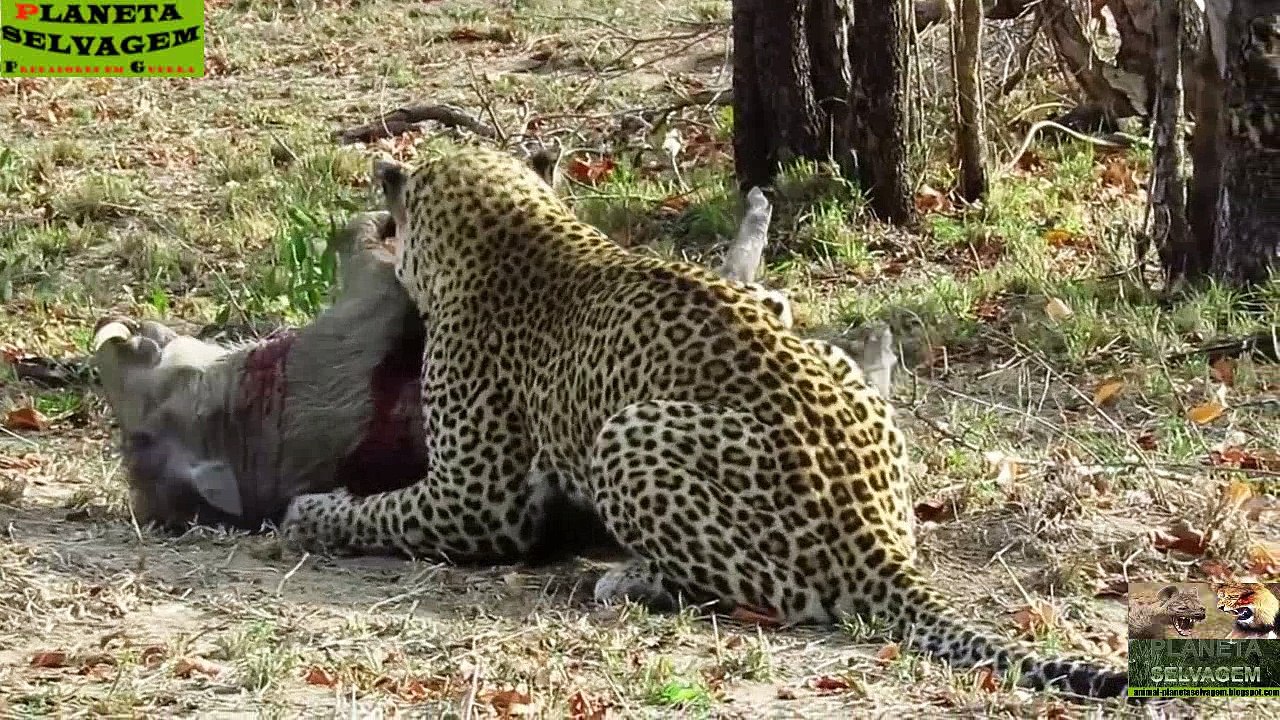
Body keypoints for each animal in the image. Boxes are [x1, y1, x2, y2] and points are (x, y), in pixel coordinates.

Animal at [281, 142, 1127, 699]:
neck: (513, 231)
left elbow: (384, 512)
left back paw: (629, 578)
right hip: (832, 371)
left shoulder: (476, 500)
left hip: (628, 436)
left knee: (767, 594)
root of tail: (877, 543)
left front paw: (309, 512)